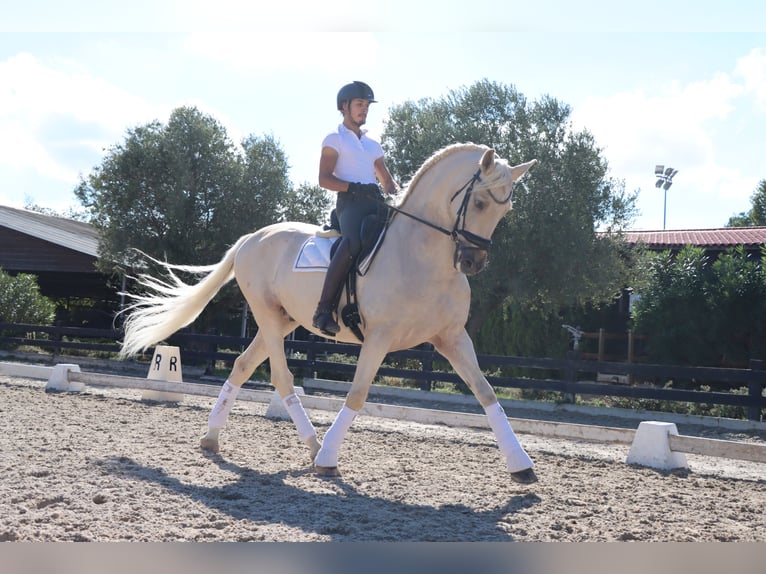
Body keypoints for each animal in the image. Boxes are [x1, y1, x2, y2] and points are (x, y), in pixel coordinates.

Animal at [119, 143, 539, 484]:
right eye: (480, 203)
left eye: (507, 209)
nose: (472, 262)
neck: (422, 256)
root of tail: (252, 237)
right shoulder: (379, 337)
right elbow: (356, 394)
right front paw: (329, 459)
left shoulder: (452, 337)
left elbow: (485, 392)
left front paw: (521, 466)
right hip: (266, 315)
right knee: (281, 377)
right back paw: (313, 445)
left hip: (282, 320)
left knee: (241, 366)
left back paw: (211, 439)